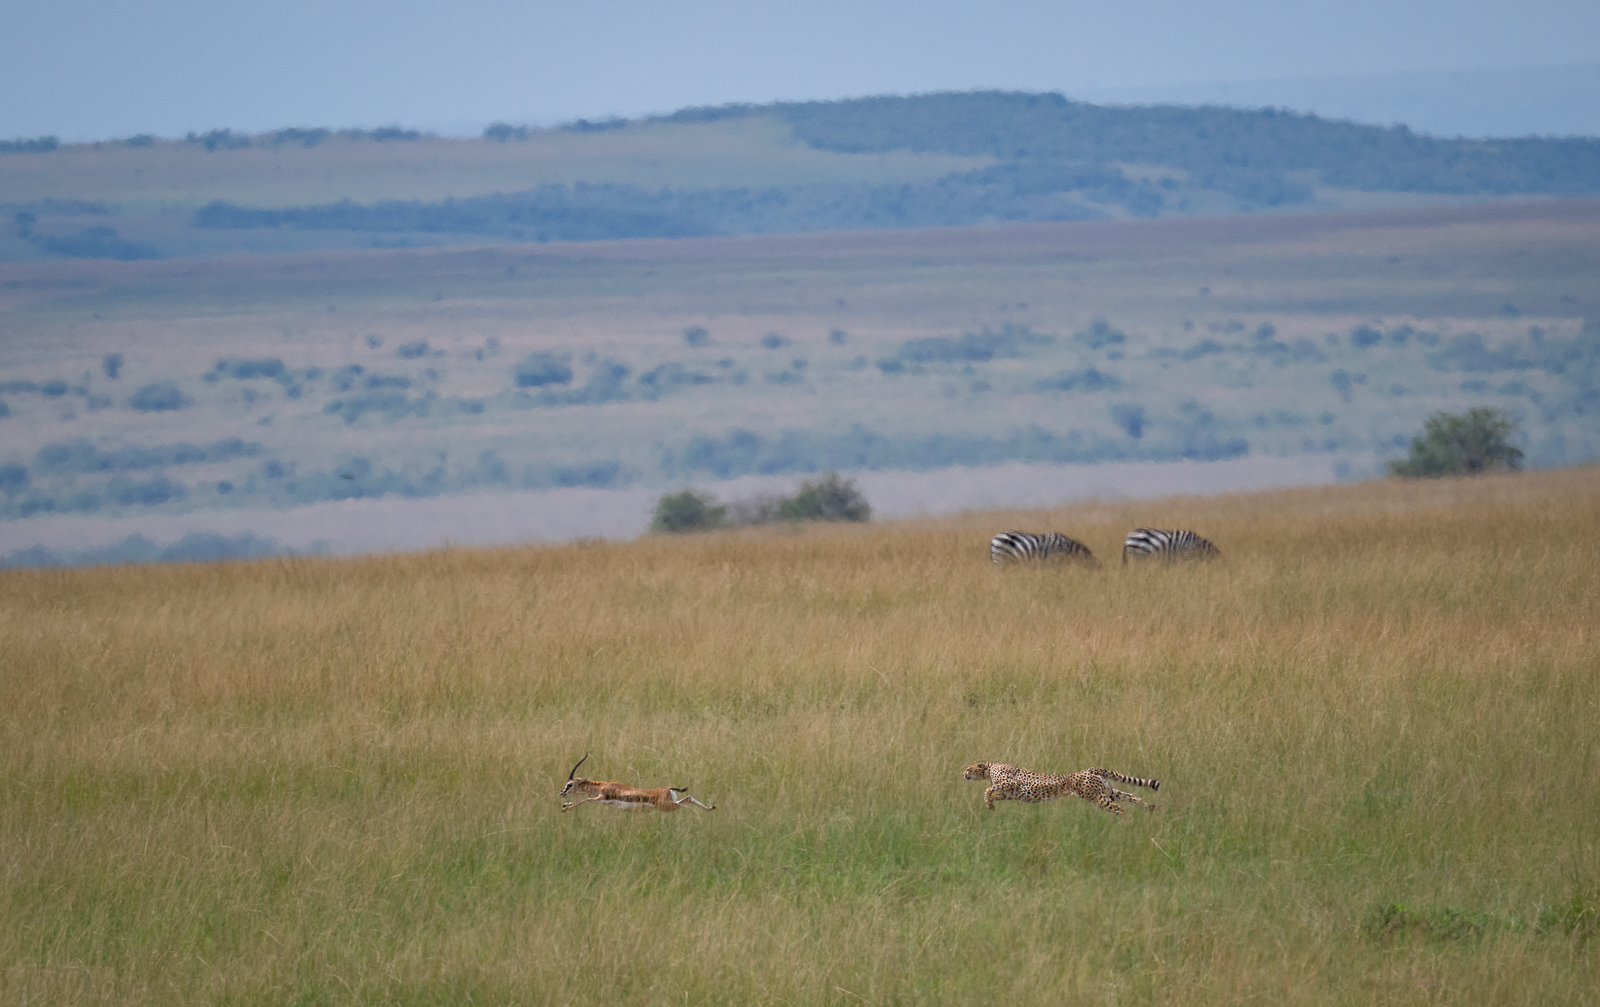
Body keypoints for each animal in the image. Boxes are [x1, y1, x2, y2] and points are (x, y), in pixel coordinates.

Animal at [558, 754, 716, 813]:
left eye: (570, 784)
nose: (562, 793)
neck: (603, 786)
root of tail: (667, 788)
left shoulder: (601, 797)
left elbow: (586, 799)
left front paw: (566, 808)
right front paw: (565, 805)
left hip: (668, 806)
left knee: (687, 801)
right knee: (688, 798)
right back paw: (710, 808)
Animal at [963, 761, 1159, 816]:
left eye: (968, 768)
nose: (963, 773)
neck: (989, 768)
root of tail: (1090, 769)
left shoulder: (1011, 784)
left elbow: (987, 790)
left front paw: (988, 803)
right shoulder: (1009, 794)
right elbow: (994, 793)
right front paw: (990, 805)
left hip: (1098, 797)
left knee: (1120, 809)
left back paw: (1126, 822)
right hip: (1109, 792)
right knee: (1133, 797)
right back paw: (1150, 809)